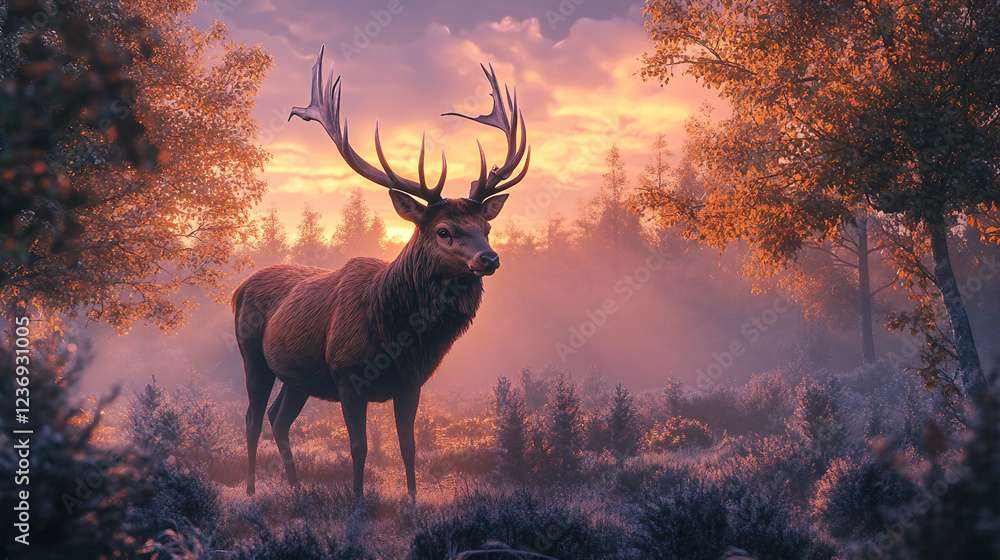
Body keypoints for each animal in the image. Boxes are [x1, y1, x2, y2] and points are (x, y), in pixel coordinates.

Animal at [232, 46, 529, 499]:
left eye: (487, 227)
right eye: (444, 230)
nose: (489, 259)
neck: (398, 335)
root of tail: (237, 289)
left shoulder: (412, 382)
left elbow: (409, 446)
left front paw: (412, 499)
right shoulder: (347, 376)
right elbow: (359, 447)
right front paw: (357, 501)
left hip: (297, 377)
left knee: (278, 419)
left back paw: (298, 490)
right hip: (252, 356)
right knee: (252, 417)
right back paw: (250, 490)